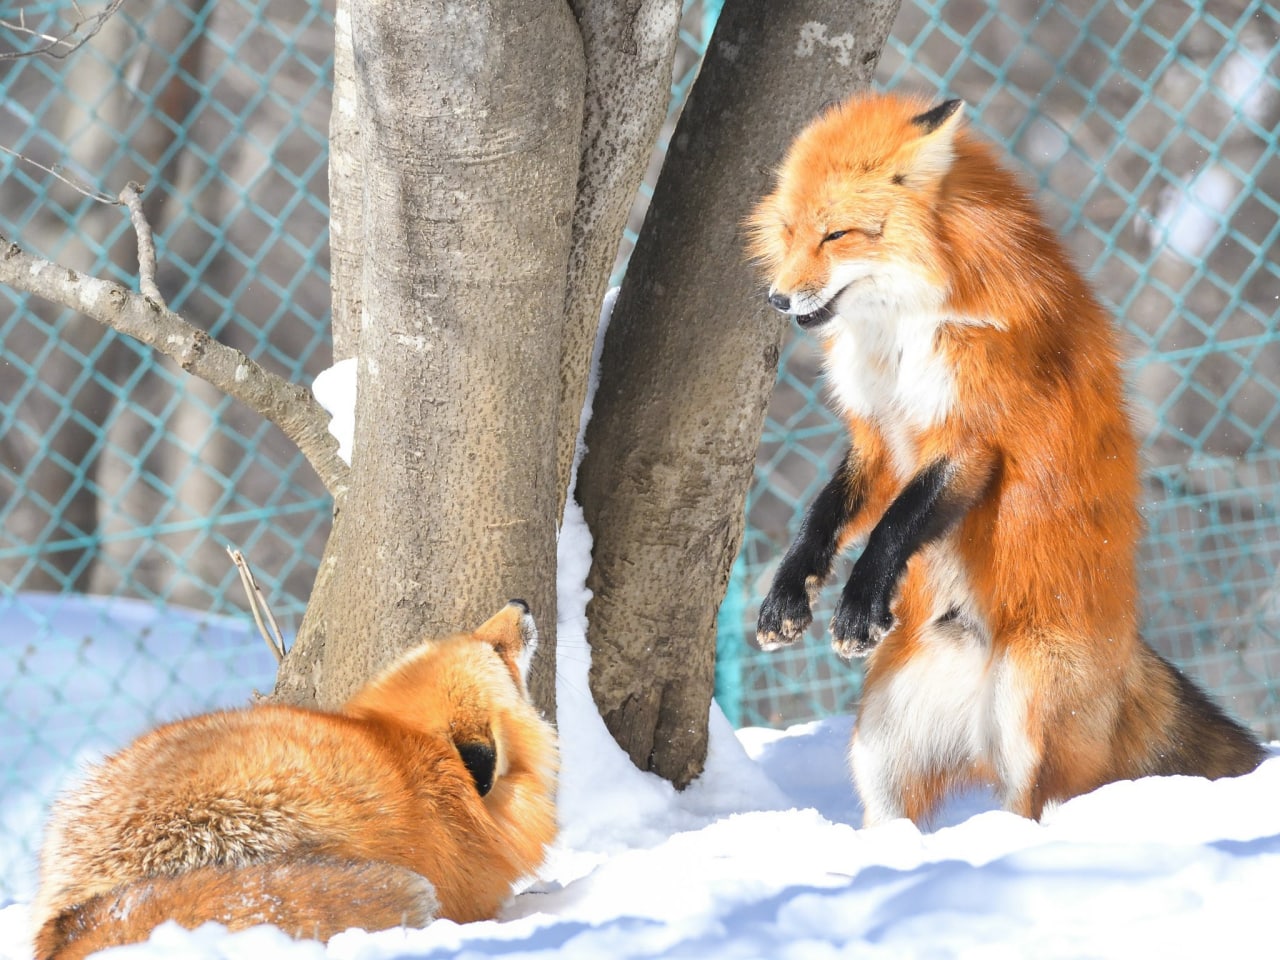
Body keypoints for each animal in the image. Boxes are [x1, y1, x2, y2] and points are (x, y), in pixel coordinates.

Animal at [747, 91, 1266, 827]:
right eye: (788, 232)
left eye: (837, 235)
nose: (778, 299)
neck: (901, 333)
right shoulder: (878, 440)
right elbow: (823, 517)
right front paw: (789, 596)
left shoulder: (972, 439)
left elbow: (896, 524)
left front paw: (860, 602)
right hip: (879, 753)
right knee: (893, 820)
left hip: (1028, 730)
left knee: (1038, 812)